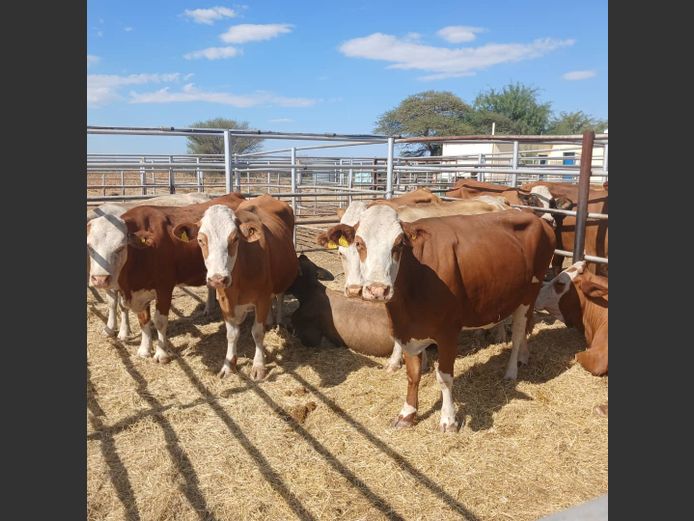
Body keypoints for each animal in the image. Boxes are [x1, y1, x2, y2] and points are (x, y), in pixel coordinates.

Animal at [86, 193, 246, 362]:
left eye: (121, 247)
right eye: (90, 247)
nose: (100, 279)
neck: (144, 252)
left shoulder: (164, 288)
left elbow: (159, 321)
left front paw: (161, 354)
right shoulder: (137, 291)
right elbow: (143, 320)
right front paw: (144, 349)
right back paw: (208, 308)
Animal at [172, 195, 298, 380]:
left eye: (235, 238)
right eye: (201, 240)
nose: (218, 279)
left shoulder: (261, 298)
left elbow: (257, 332)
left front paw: (258, 366)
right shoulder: (225, 300)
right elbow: (231, 334)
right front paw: (228, 365)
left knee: (279, 296)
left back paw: (279, 321)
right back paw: (269, 320)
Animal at [324, 206, 555, 432]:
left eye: (399, 244)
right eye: (359, 243)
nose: (378, 290)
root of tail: (534, 216)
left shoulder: (448, 332)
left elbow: (444, 378)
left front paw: (449, 419)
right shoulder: (408, 332)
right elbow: (412, 374)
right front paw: (407, 414)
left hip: (530, 292)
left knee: (518, 332)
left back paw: (511, 370)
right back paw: (524, 356)